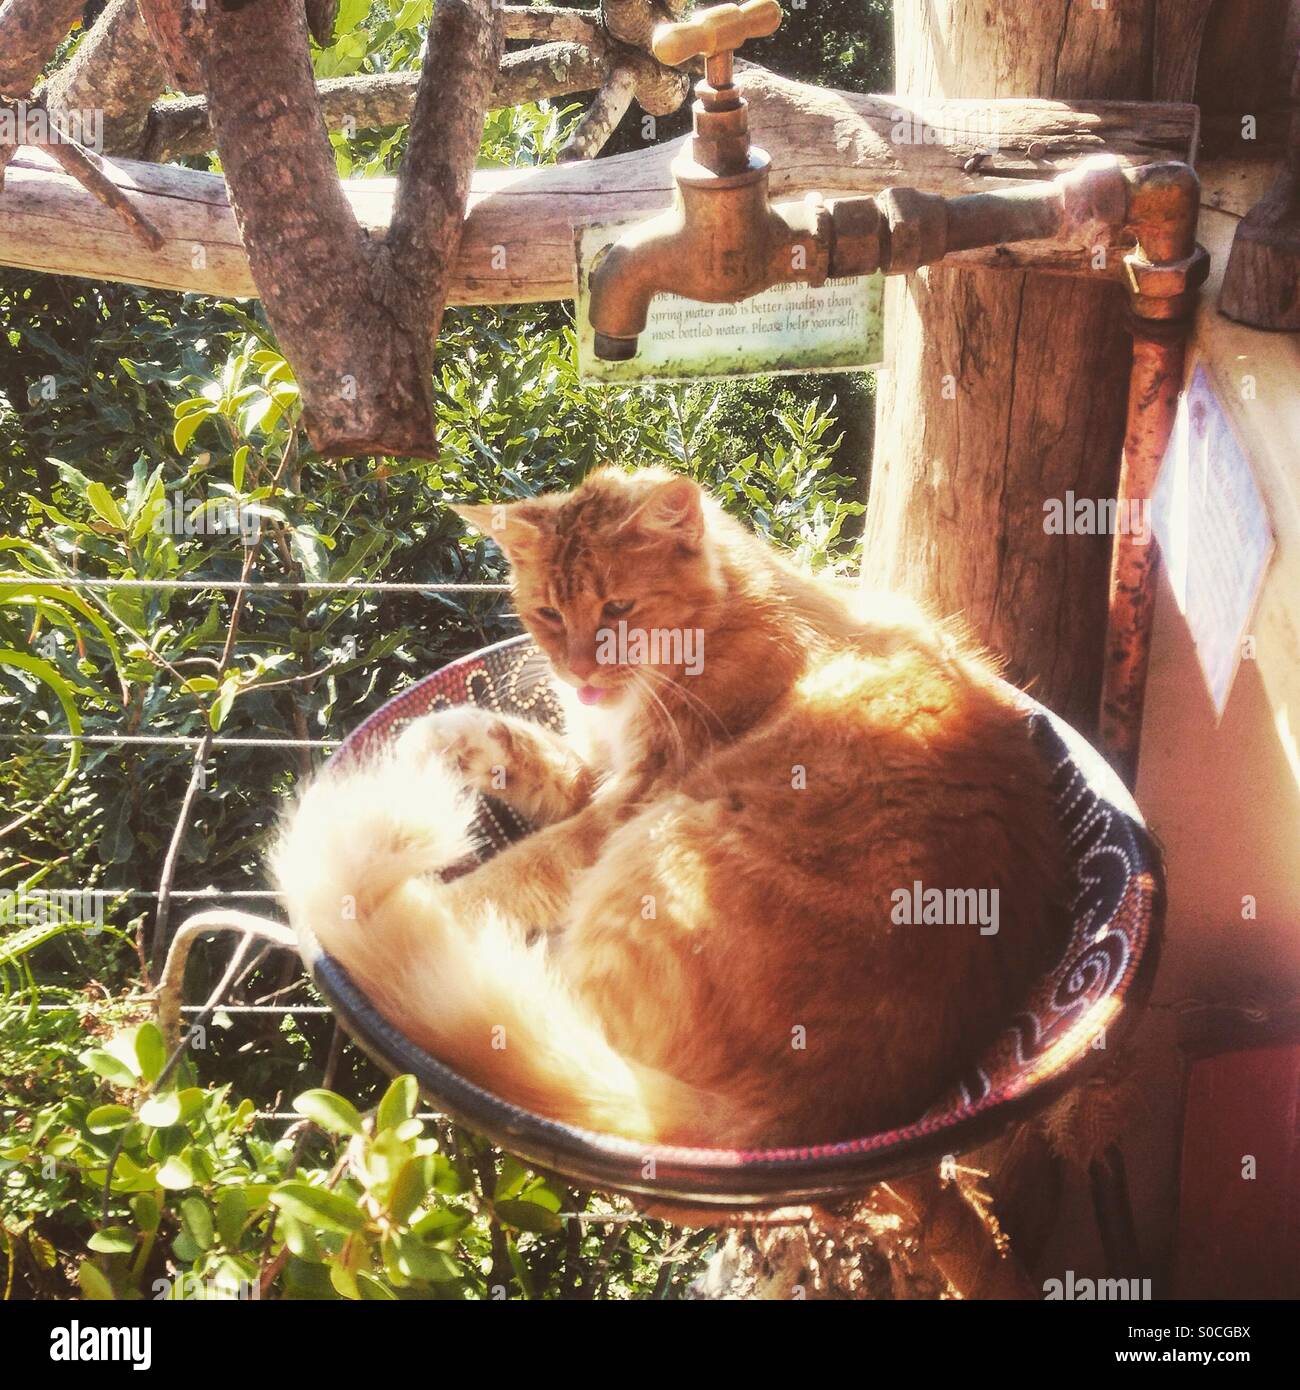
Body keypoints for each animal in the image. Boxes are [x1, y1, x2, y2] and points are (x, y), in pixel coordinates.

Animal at [273, 472, 1067, 1145]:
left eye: (618, 608)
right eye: (548, 613)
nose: (580, 673)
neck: (724, 619)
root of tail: (791, 1115)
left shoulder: (629, 802)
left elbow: (520, 869)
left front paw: (438, 902)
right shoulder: (596, 774)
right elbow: (522, 750)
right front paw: (442, 736)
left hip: (660, 845)